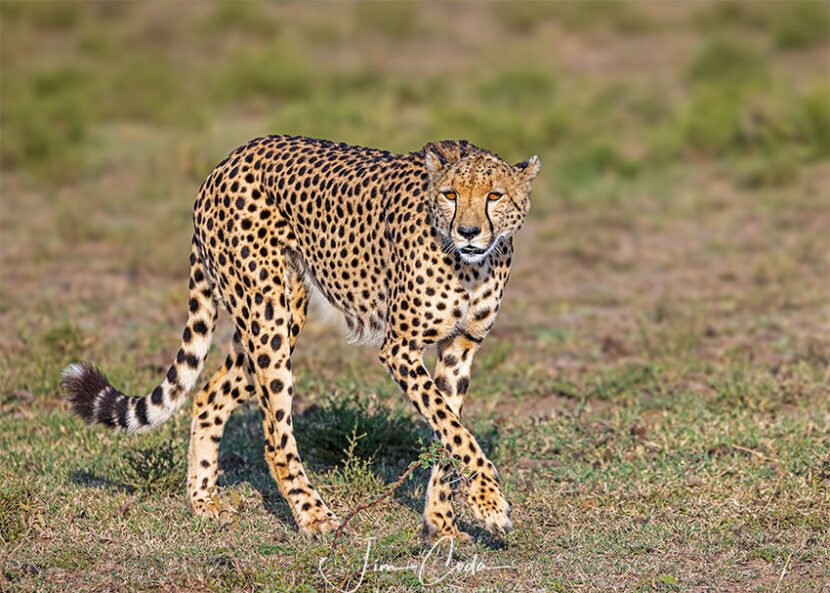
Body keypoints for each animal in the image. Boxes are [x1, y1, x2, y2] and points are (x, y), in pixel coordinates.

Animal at [62, 134, 541, 541]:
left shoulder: (460, 348)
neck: (472, 265)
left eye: (495, 196)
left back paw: (203, 502)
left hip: (279, 315)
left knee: (210, 394)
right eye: (450, 195)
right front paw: (490, 503)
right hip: (267, 317)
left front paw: (443, 524)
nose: (468, 232)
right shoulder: (399, 349)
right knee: (275, 436)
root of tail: (228, 159)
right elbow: (456, 433)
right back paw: (313, 516)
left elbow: (449, 435)